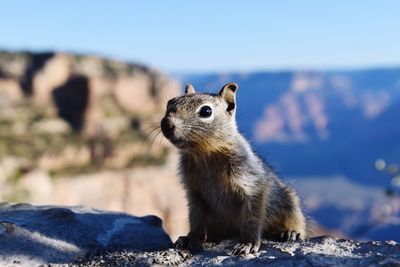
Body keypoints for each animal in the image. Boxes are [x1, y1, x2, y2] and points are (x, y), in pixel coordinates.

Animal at [161, 82, 308, 256]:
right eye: (169, 103)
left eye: (206, 111)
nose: (166, 124)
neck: (205, 155)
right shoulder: (194, 193)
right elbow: (196, 219)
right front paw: (190, 239)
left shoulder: (252, 185)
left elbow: (252, 217)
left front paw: (248, 243)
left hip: (291, 205)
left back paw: (290, 232)